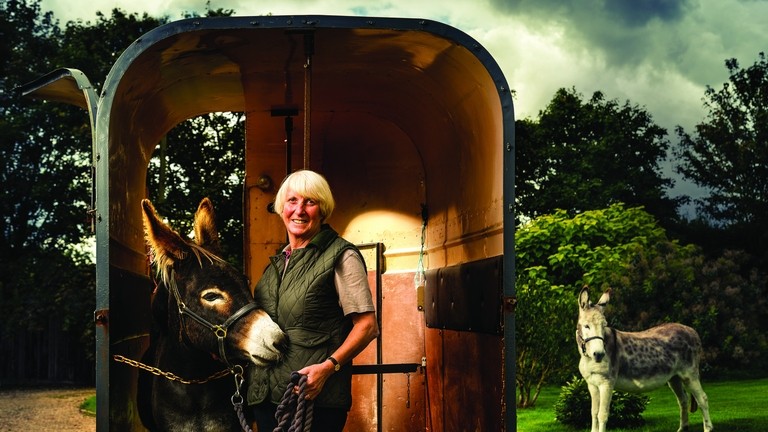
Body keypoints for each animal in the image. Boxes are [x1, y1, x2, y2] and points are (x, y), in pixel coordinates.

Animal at [576, 287, 713, 432]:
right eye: (586, 326)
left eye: (604, 325)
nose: (599, 354)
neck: (588, 358)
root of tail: (692, 330)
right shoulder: (592, 384)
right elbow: (593, 413)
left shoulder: (606, 383)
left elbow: (602, 414)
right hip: (674, 378)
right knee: (683, 400)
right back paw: (682, 428)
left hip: (689, 374)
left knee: (702, 399)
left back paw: (708, 428)